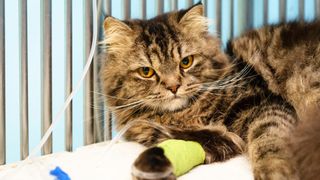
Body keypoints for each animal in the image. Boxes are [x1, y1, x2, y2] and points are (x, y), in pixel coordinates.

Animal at [100, 2, 320, 180]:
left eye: (186, 62)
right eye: (146, 72)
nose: (173, 87)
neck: (185, 114)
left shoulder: (264, 103)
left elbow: (268, 139)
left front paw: (275, 171)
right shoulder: (209, 141)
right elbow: (181, 144)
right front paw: (149, 168)